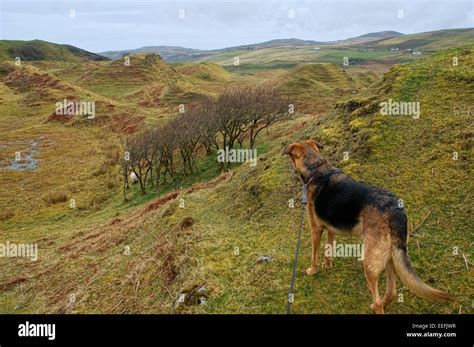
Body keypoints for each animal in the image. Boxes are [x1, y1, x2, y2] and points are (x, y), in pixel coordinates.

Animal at [284, 140, 454, 314]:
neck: (316, 168)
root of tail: (395, 211)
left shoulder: (316, 229)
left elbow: (315, 254)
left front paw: (313, 270)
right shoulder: (330, 228)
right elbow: (328, 249)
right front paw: (328, 265)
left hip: (370, 263)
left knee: (378, 300)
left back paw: (377, 305)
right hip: (390, 257)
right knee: (391, 292)